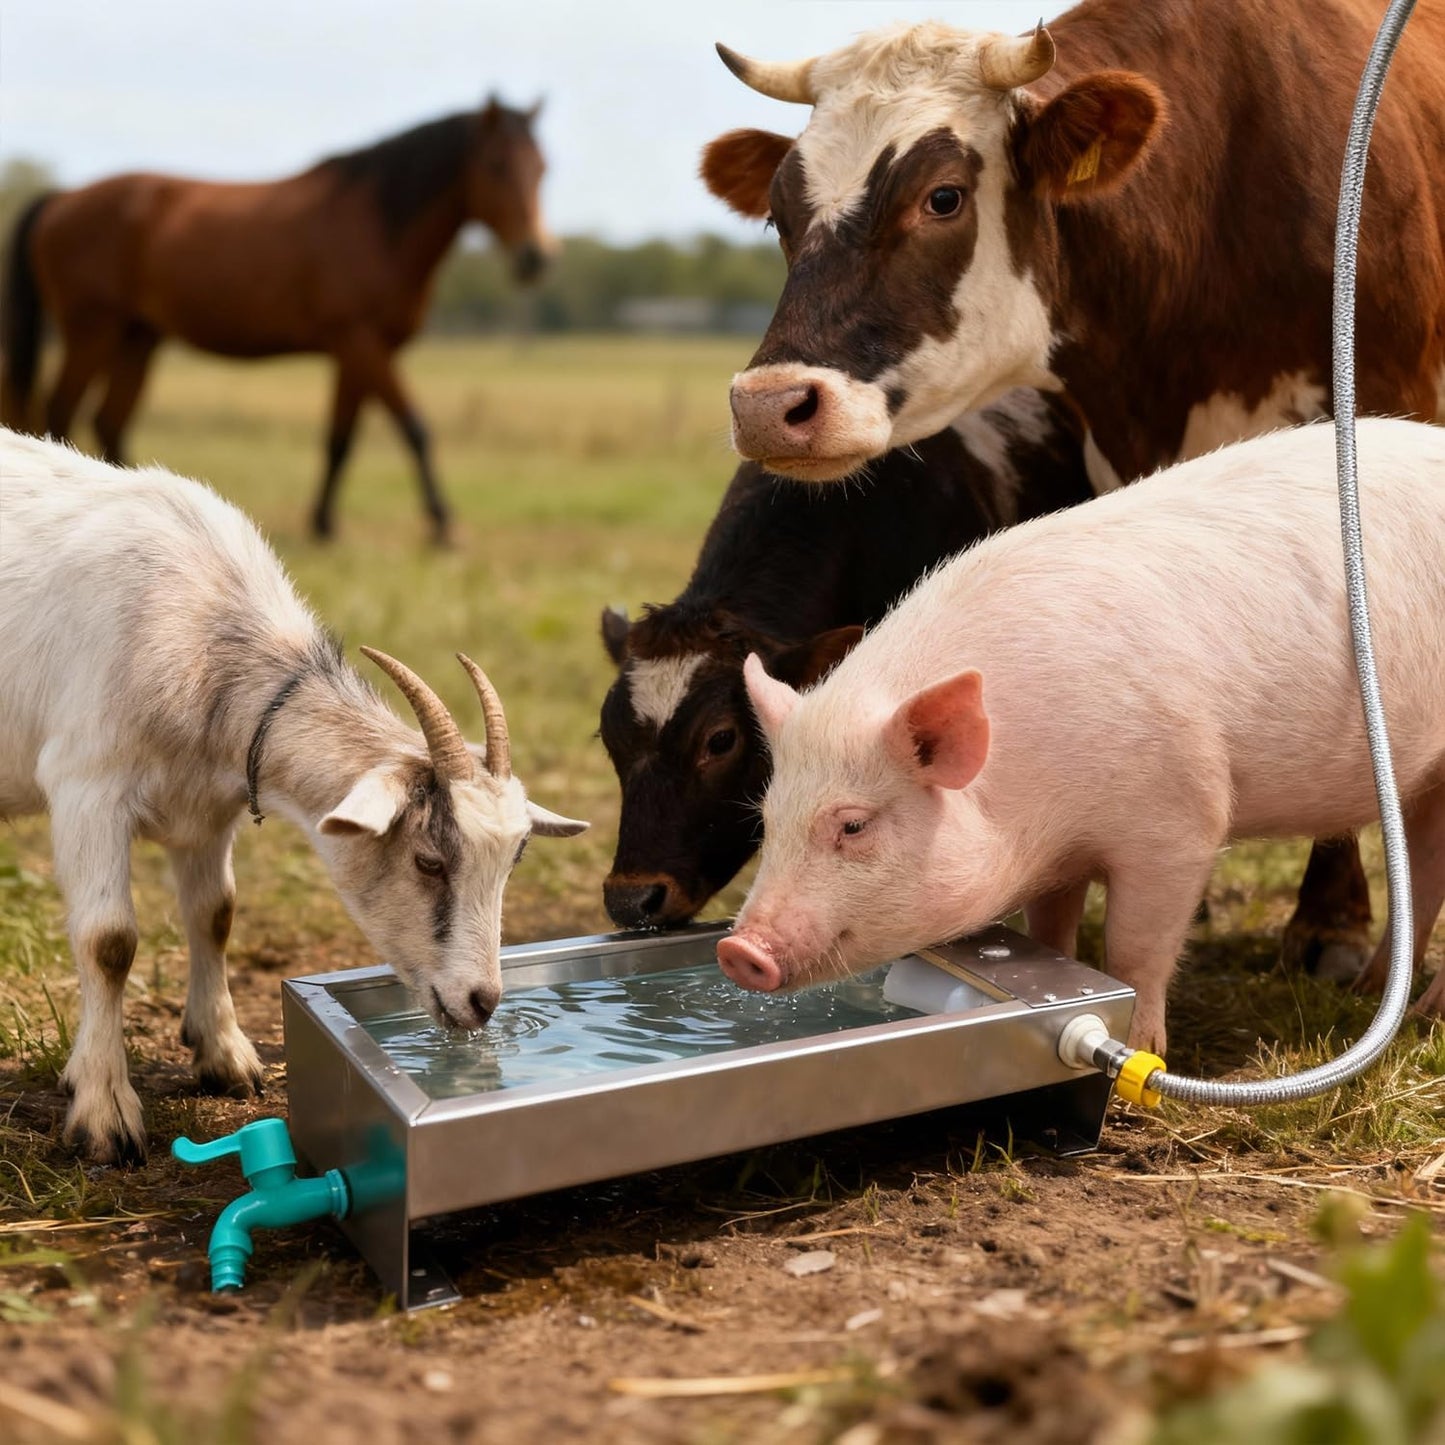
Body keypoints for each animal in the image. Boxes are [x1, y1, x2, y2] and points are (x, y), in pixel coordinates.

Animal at [0, 96, 551, 543]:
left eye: (543, 167)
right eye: (497, 164)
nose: (536, 257)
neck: (377, 222)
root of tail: (62, 197)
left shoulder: (357, 351)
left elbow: (340, 439)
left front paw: (325, 524)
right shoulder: (361, 342)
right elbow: (414, 427)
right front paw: (443, 525)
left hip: (139, 337)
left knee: (108, 420)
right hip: (92, 329)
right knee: (60, 413)